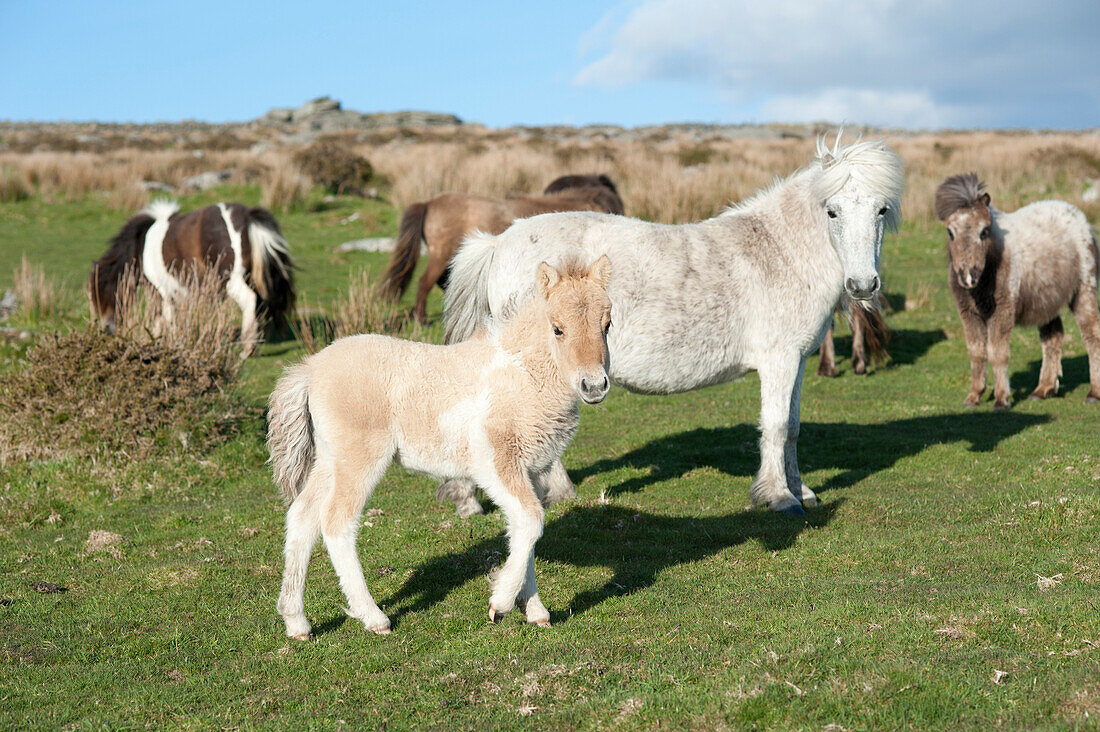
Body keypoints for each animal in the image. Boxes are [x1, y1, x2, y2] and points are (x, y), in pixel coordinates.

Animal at [90, 200, 294, 347]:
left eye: (100, 297)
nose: (106, 330)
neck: (141, 246)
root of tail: (246, 216)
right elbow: (160, 319)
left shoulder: (161, 290)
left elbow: (166, 317)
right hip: (250, 277)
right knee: (258, 303)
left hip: (230, 279)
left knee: (249, 300)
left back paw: (247, 347)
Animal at [265, 255, 611, 634]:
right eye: (557, 328)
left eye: (607, 325)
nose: (594, 386)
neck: (522, 372)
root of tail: (311, 368)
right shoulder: (495, 461)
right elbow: (531, 519)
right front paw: (500, 604)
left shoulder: (532, 469)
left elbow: (526, 532)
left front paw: (534, 610)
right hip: (360, 458)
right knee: (336, 522)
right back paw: (374, 617)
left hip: (330, 460)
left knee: (302, 517)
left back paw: (296, 621)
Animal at [442, 135, 906, 512]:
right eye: (832, 212)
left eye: (881, 210)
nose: (862, 285)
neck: (778, 253)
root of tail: (499, 243)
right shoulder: (779, 362)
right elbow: (774, 427)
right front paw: (779, 498)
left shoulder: (799, 361)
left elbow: (791, 427)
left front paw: (802, 491)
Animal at [937, 173, 1100, 407]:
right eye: (950, 232)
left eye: (984, 231)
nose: (968, 276)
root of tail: (1080, 217)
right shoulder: (968, 313)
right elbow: (976, 352)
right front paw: (974, 396)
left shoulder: (1002, 309)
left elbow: (997, 352)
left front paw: (1001, 400)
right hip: (1045, 300)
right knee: (1053, 336)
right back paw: (1042, 389)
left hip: (1083, 289)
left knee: (1091, 334)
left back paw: (1093, 393)